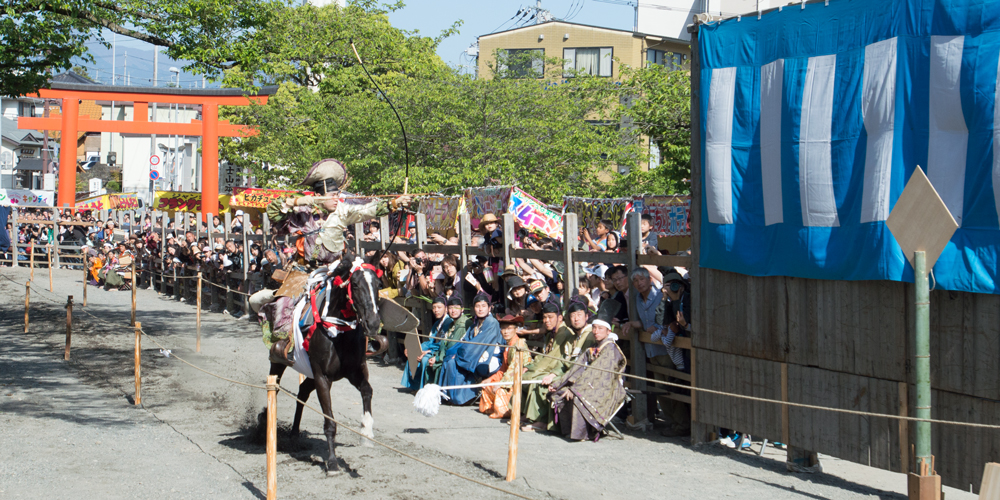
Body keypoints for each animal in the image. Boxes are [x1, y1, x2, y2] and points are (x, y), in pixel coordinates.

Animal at [268, 250, 384, 476]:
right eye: (355, 284)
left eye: (377, 283)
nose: (374, 324)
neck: (339, 330)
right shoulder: (322, 376)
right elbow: (330, 422)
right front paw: (332, 463)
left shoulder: (353, 371)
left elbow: (367, 390)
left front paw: (366, 430)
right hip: (279, 359)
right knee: (274, 387)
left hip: (310, 371)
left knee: (303, 391)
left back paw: (294, 434)